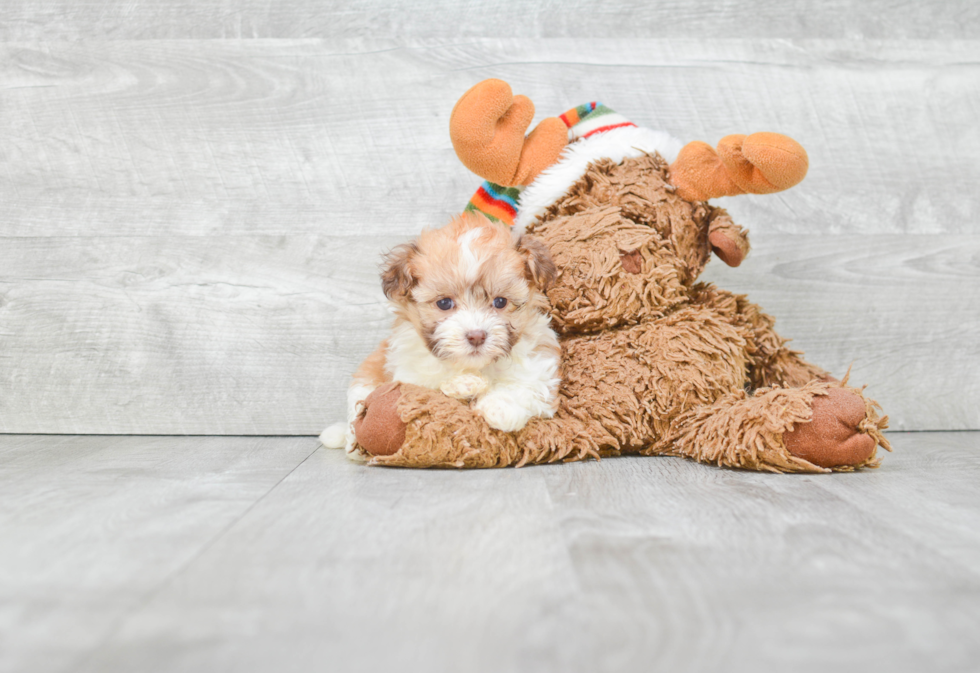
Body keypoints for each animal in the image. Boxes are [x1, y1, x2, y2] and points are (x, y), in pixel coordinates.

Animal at [322, 214, 560, 456]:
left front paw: (500, 408)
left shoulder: (538, 366)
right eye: (444, 303)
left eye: (500, 302)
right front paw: (465, 384)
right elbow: (432, 391)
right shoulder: (409, 376)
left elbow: (527, 386)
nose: (476, 336)